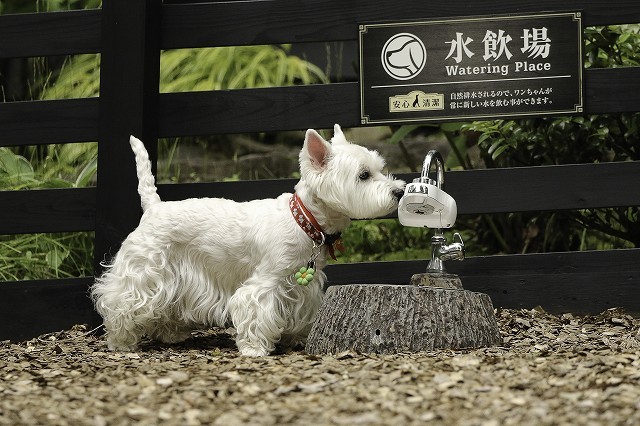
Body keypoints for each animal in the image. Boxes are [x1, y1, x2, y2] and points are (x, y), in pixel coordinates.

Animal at [91, 124, 404, 356]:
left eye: (380, 168)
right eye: (363, 175)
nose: (399, 191)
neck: (304, 221)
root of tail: (153, 207)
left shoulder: (304, 285)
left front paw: (296, 338)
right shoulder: (266, 280)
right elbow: (254, 310)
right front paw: (255, 349)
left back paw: (171, 334)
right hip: (145, 269)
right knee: (119, 301)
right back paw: (121, 342)